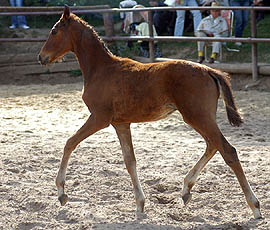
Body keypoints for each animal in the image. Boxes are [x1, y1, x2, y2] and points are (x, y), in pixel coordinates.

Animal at [38, 5, 262, 219]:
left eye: (54, 31)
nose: (41, 57)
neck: (101, 69)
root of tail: (209, 71)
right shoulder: (121, 123)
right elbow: (130, 161)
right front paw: (140, 205)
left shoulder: (99, 118)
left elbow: (70, 143)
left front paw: (61, 193)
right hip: (200, 118)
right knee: (212, 145)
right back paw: (186, 190)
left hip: (197, 116)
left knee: (227, 150)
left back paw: (254, 206)